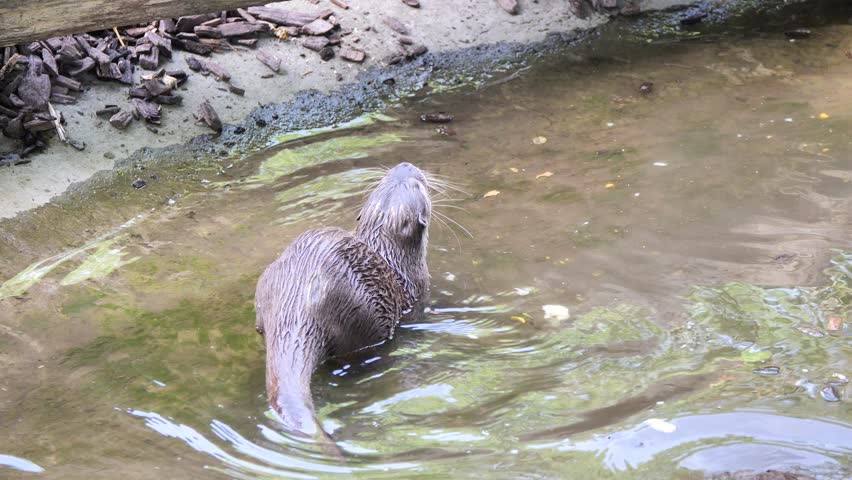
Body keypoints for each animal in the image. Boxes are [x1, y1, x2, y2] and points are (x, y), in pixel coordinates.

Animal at [254, 162, 431, 437]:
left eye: (385, 179)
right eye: (417, 185)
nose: (406, 166)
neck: (392, 255)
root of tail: (299, 305)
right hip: (362, 315)